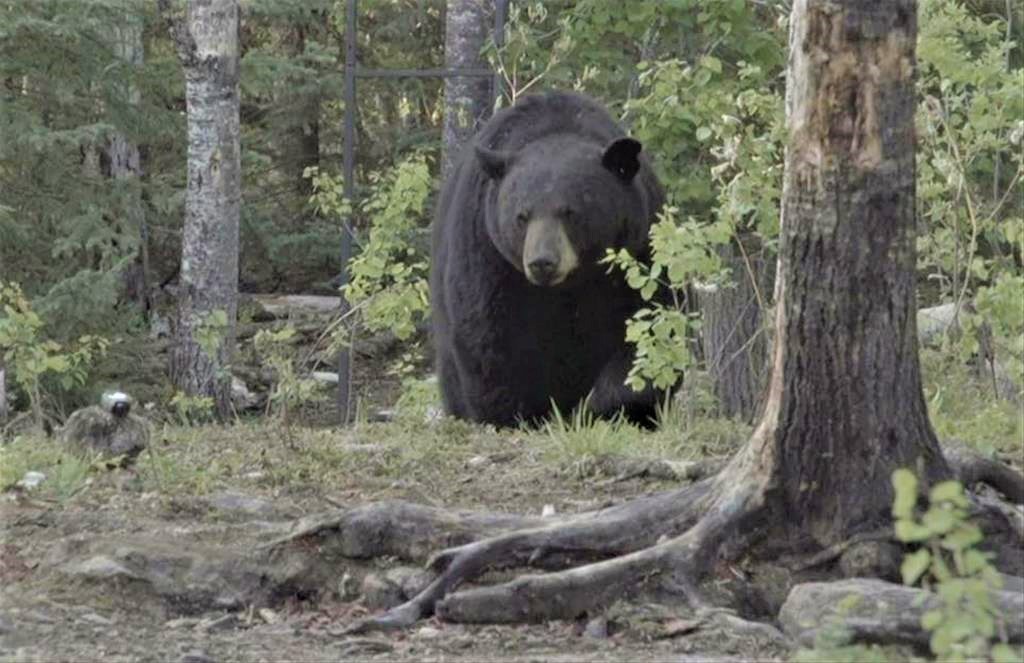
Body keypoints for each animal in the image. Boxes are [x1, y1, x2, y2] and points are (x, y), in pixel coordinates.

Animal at [430, 90, 663, 428]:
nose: (542, 262)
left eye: (570, 212)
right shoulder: (487, 253)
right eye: (521, 216)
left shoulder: (637, 247)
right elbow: (487, 335)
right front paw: (515, 413)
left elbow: (646, 325)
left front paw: (608, 406)